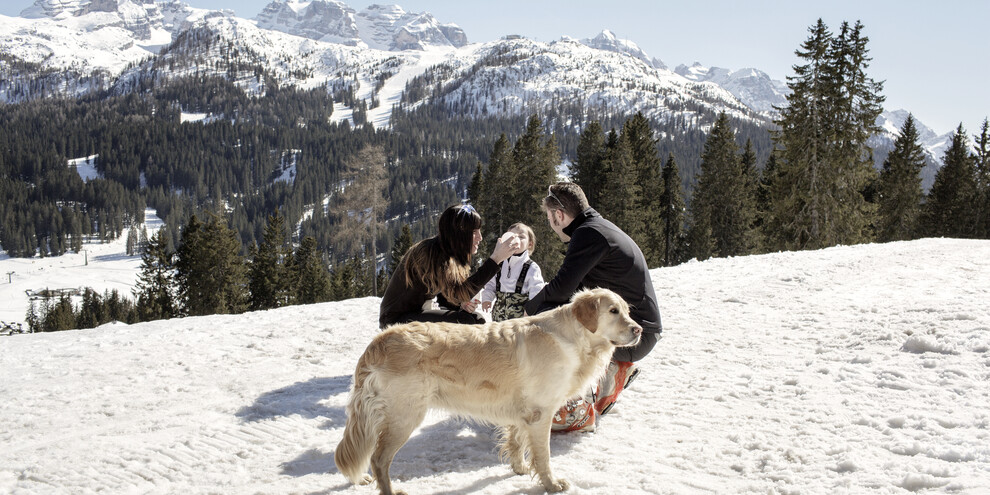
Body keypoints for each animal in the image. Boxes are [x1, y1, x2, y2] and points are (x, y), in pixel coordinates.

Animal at [334, 288, 644, 494]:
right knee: (378, 458)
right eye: (613, 311)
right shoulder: (541, 413)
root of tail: (379, 341)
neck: (573, 338)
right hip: (405, 415)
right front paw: (551, 483)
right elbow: (543, 456)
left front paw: (519, 469)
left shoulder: (522, 412)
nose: (639, 330)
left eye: (628, 311)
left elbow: (516, 443)